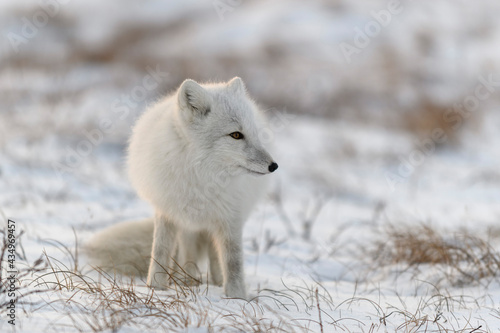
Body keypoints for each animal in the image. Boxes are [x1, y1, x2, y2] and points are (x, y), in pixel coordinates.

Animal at [88, 78, 280, 298]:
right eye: (236, 135)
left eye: (254, 133)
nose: (274, 166)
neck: (201, 176)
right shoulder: (167, 210)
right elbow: (160, 251)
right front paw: (155, 287)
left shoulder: (231, 217)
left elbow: (233, 261)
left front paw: (236, 296)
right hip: (187, 222)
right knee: (188, 251)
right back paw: (188, 280)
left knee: (214, 255)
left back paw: (214, 282)